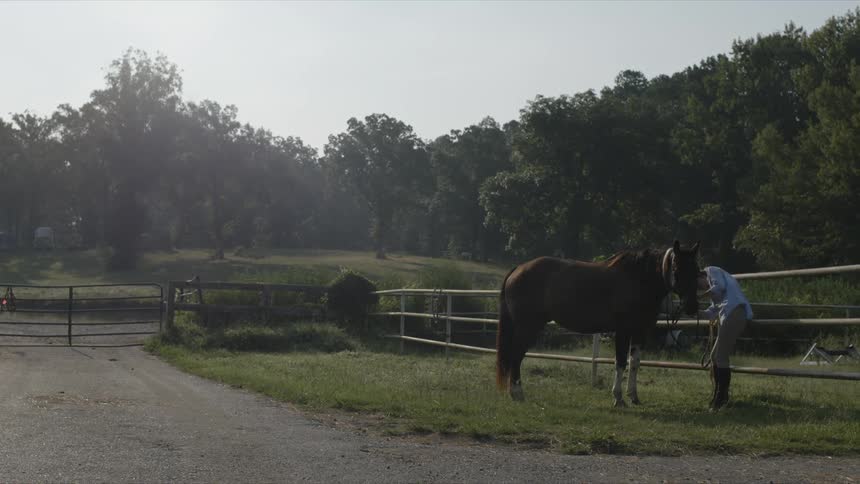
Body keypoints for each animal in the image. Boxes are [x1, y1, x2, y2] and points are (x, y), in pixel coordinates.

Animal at [496, 241, 701, 407]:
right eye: (677, 269)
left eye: (696, 271)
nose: (692, 306)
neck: (638, 279)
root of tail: (518, 269)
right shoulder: (623, 331)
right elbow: (620, 362)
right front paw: (618, 398)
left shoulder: (639, 332)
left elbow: (634, 362)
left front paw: (633, 396)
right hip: (527, 327)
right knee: (516, 356)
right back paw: (517, 393)